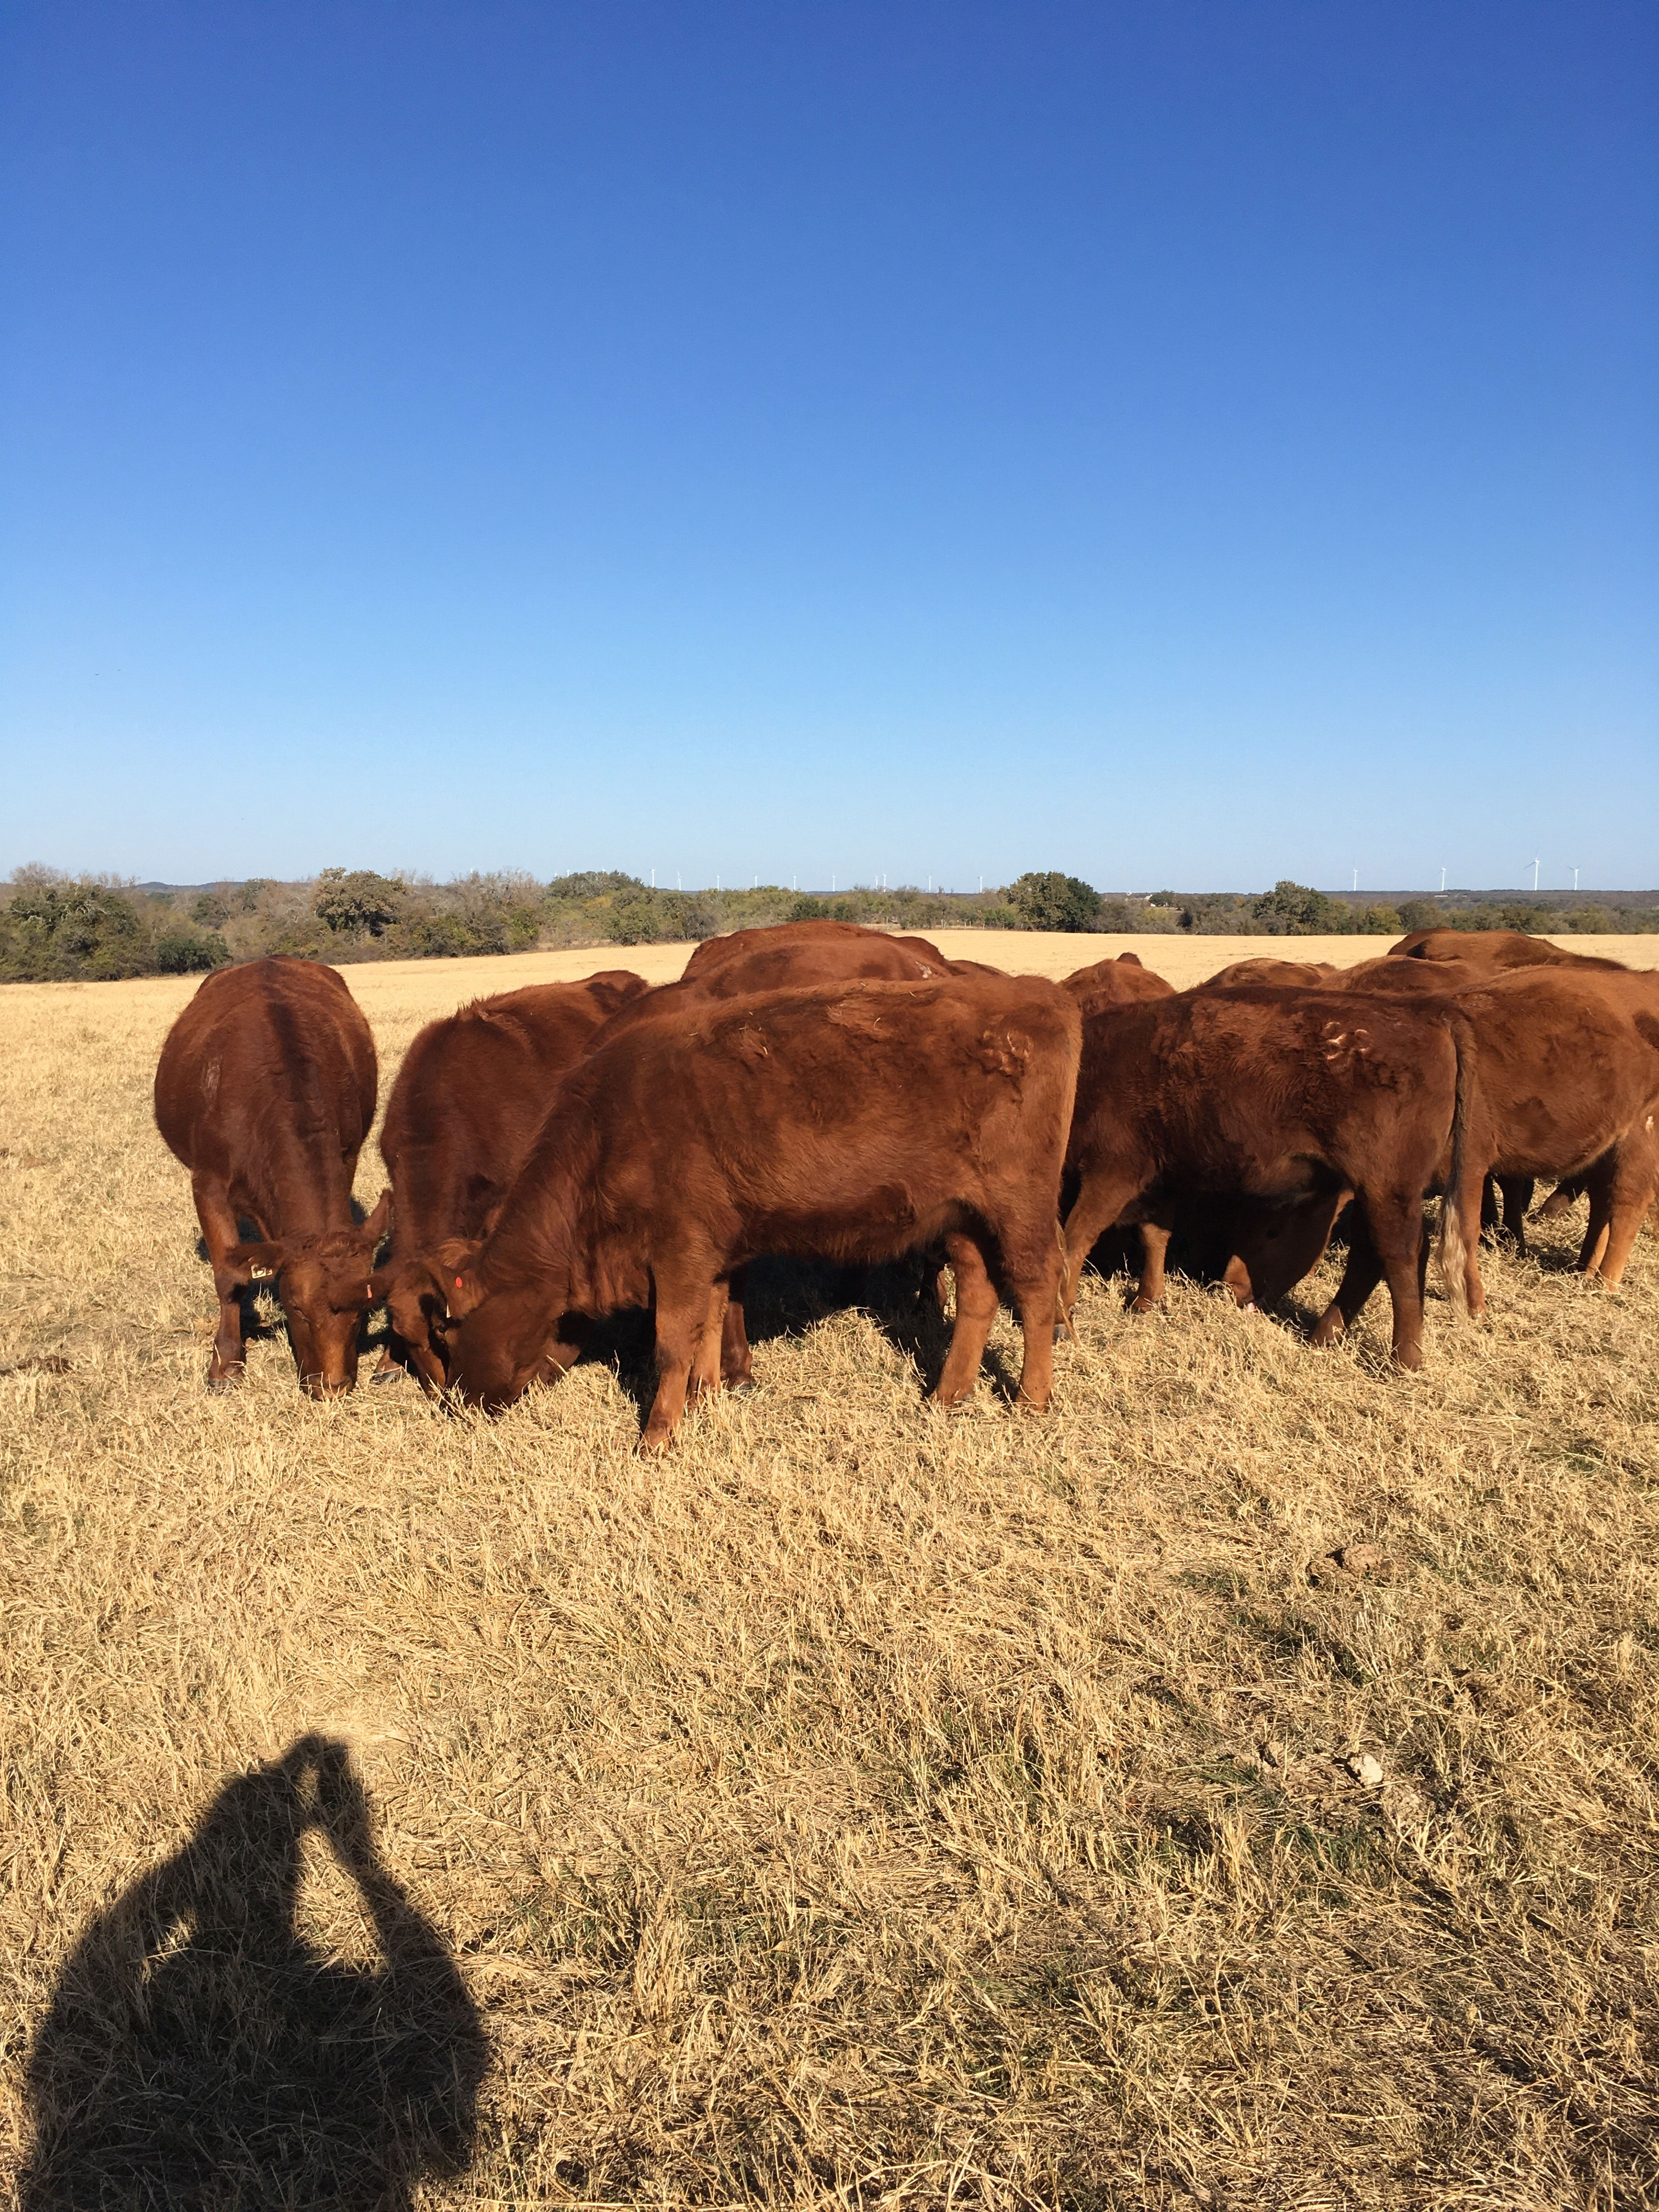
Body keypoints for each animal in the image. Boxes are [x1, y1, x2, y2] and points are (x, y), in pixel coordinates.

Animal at [154, 957, 387, 1396]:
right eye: (296, 1305)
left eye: (363, 1308)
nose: (333, 1386)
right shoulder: (207, 1183)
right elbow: (230, 1277)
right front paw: (226, 1362)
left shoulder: (346, 1158)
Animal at [1061, 989, 1474, 1368]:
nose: (1233, 1290)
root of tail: (1431, 1018)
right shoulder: (1162, 1179)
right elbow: (1153, 1236)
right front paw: (1145, 1301)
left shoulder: (1114, 1171)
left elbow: (1075, 1237)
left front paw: (1064, 1318)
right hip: (1371, 1192)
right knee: (1370, 1256)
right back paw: (1324, 1336)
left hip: (1385, 1188)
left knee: (1401, 1255)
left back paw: (1404, 1358)